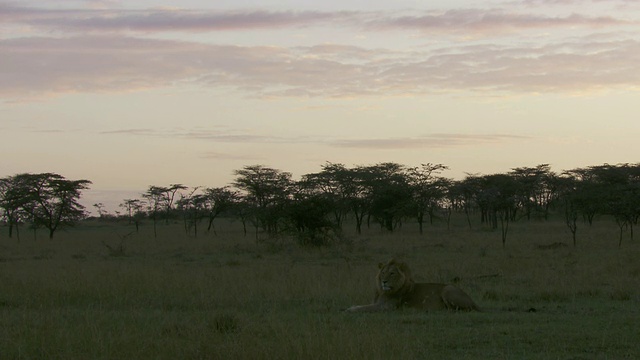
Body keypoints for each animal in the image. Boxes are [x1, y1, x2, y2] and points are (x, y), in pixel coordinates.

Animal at [344, 258, 480, 312]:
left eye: (392, 273)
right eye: (383, 273)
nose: (384, 281)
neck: (383, 291)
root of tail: (474, 302)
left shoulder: (386, 307)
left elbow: (364, 308)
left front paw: (350, 309)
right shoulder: (377, 303)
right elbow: (363, 305)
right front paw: (350, 307)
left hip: (447, 289)